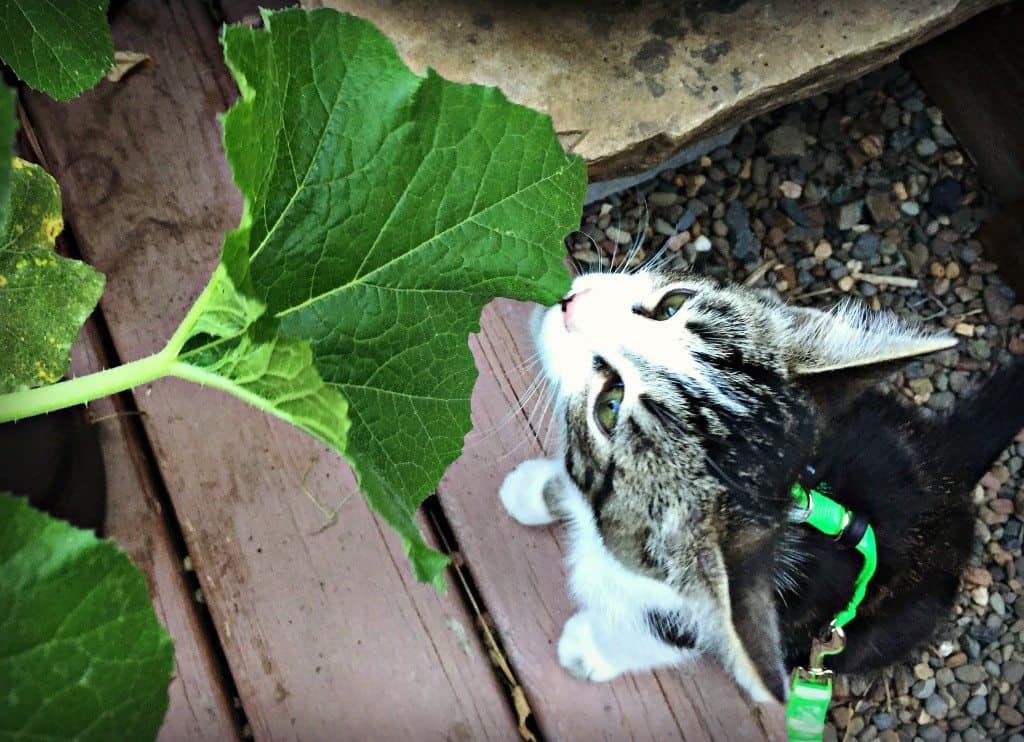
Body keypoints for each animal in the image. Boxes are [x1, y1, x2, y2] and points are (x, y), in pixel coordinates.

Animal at [497, 266, 1024, 700]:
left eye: (609, 404)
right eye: (672, 303)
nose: (572, 301)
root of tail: (947, 462)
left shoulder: (700, 614)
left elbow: (660, 633)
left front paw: (590, 650)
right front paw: (537, 491)